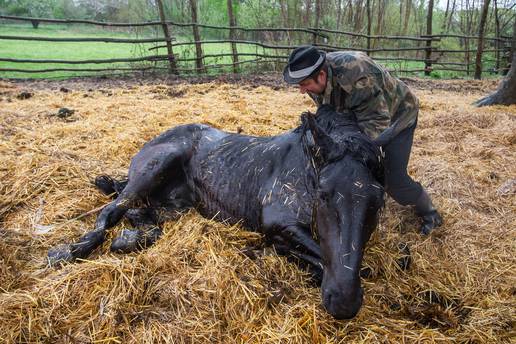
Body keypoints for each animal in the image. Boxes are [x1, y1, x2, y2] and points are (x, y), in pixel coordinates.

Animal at [49, 105, 382, 320]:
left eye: (376, 202)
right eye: (323, 194)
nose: (343, 302)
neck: (307, 164)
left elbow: (348, 265)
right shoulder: (278, 222)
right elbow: (319, 255)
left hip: (178, 205)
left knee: (142, 216)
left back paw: (127, 239)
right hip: (155, 168)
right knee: (112, 211)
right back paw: (68, 251)